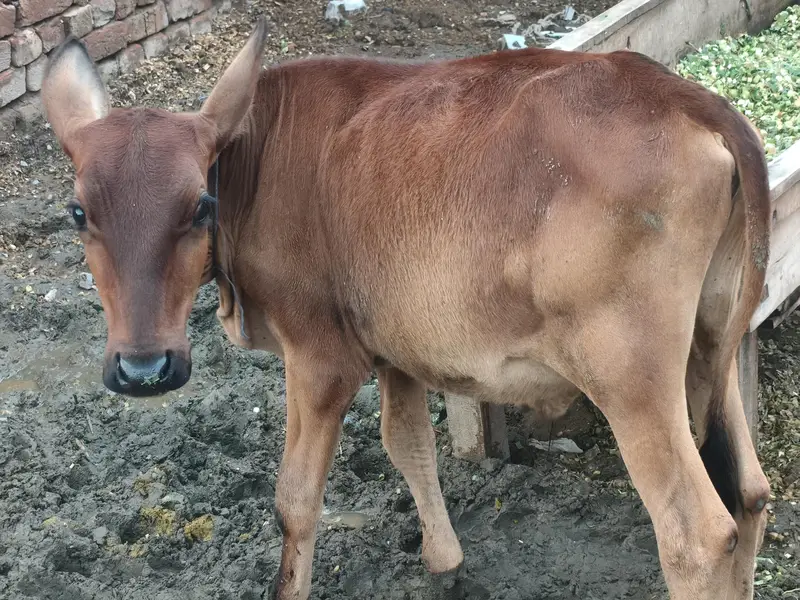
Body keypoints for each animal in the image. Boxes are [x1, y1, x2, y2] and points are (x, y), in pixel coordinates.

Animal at [40, 17, 771, 600]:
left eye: (199, 206)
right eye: (77, 212)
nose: (144, 369)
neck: (256, 157)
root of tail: (690, 98)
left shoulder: (321, 356)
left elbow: (295, 499)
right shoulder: (394, 346)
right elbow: (407, 443)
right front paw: (444, 562)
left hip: (628, 369)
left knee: (697, 533)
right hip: (710, 342)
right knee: (751, 491)